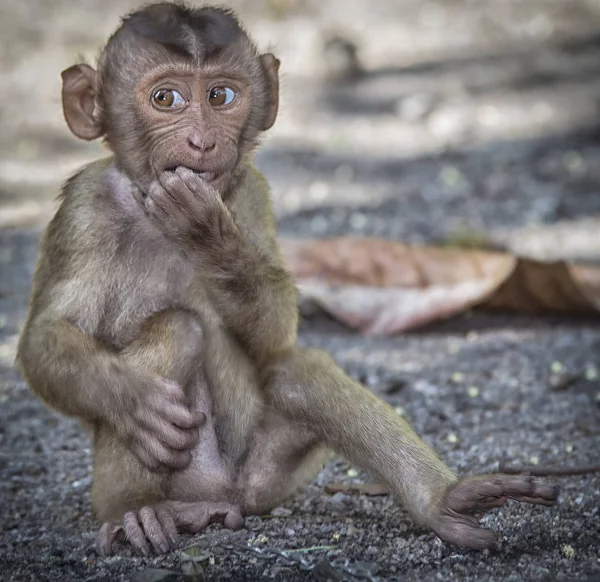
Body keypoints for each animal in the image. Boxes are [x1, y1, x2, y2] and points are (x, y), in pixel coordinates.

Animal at [17, 3, 556, 560]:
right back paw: (137, 511)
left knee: (297, 373)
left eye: (221, 96)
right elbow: (46, 338)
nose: (202, 141)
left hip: (264, 479)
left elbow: (274, 334)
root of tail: (219, 496)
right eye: (165, 98)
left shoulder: (249, 190)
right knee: (178, 329)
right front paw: (135, 401)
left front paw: (206, 233)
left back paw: (442, 501)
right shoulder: (85, 205)